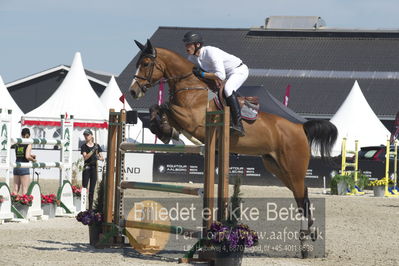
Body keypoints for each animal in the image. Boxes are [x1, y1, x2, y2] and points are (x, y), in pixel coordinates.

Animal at [129, 40, 338, 238]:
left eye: (146, 63)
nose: (132, 92)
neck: (191, 87)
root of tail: (299, 127)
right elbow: (157, 108)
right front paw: (164, 130)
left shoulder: (192, 121)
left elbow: (166, 106)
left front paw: (165, 130)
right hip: (277, 167)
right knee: (301, 194)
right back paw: (308, 230)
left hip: (293, 169)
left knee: (302, 195)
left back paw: (308, 231)